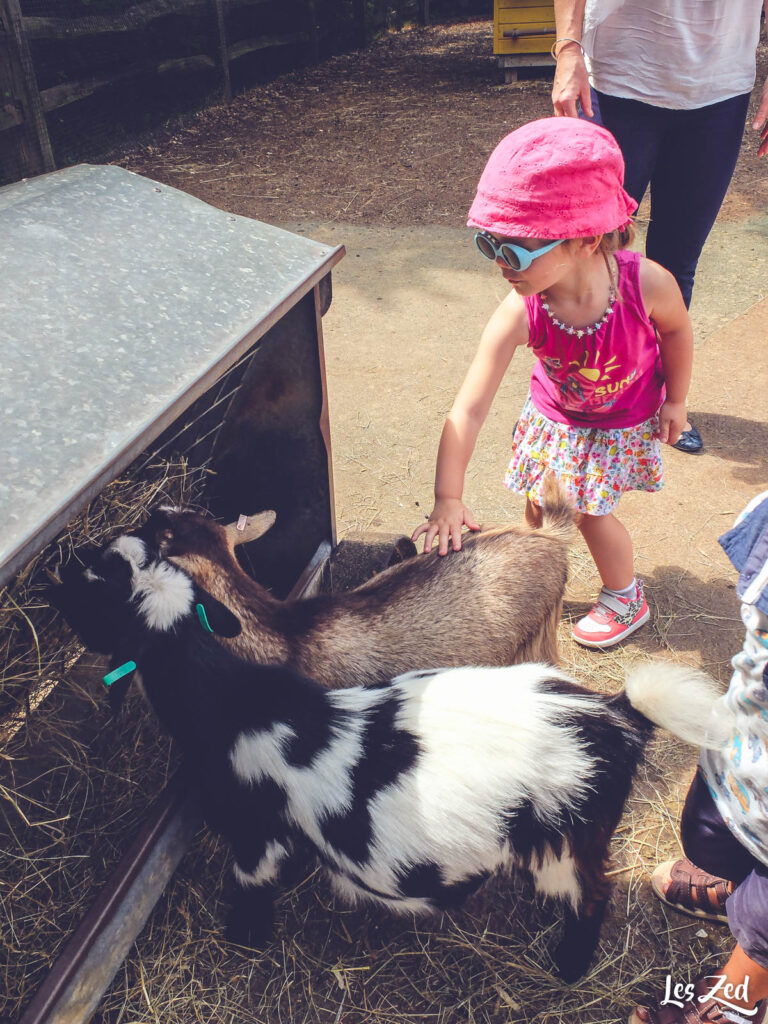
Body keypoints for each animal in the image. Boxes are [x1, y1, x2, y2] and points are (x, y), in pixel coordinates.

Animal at [51, 532, 729, 978]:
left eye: (98, 585)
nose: (58, 573)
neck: (230, 698)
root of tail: (618, 712)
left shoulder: (255, 833)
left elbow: (251, 884)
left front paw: (243, 940)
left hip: (567, 838)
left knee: (594, 896)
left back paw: (567, 964)